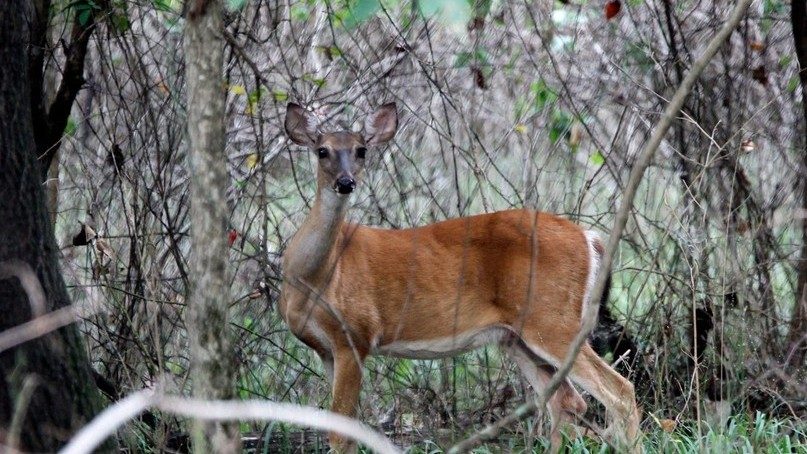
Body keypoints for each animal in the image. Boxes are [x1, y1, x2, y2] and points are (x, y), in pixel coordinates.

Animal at [279, 102, 641, 453]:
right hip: (516, 337)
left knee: (618, 392)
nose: (345, 182)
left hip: (553, 319)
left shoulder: (355, 334)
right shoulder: (326, 349)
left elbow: (342, 435)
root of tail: (589, 237)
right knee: (565, 402)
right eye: (322, 150)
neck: (314, 276)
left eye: (361, 150)